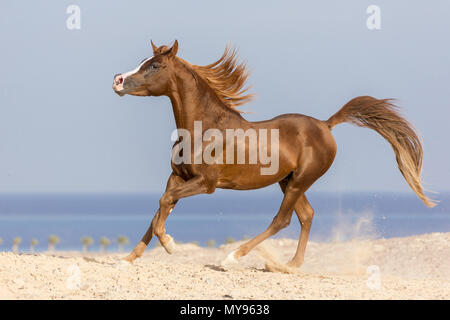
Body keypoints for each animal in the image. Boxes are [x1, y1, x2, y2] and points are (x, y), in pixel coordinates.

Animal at [113, 40, 436, 270]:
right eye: (143, 62)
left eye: (154, 65)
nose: (117, 80)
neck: (204, 128)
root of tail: (325, 124)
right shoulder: (177, 177)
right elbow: (159, 208)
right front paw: (127, 259)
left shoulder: (206, 184)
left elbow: (163, 204)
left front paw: (170, 245)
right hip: (288, 181)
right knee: (306, 215)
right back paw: (289, 265)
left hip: (299, 181)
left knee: (283, 220)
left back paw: (232, 258)